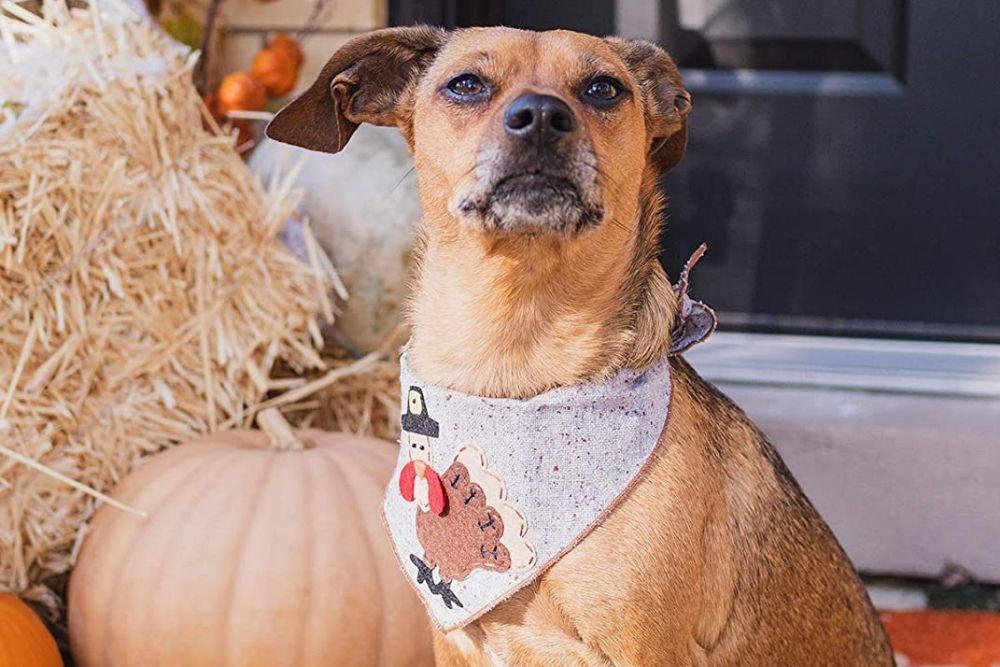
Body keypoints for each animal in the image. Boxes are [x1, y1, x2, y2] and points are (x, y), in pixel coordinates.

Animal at [268, 26, 900, 667]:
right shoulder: (454, 644)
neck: (516, 359)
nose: (541, 117)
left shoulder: (643, 648)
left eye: (603, 88)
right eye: (466, 84)